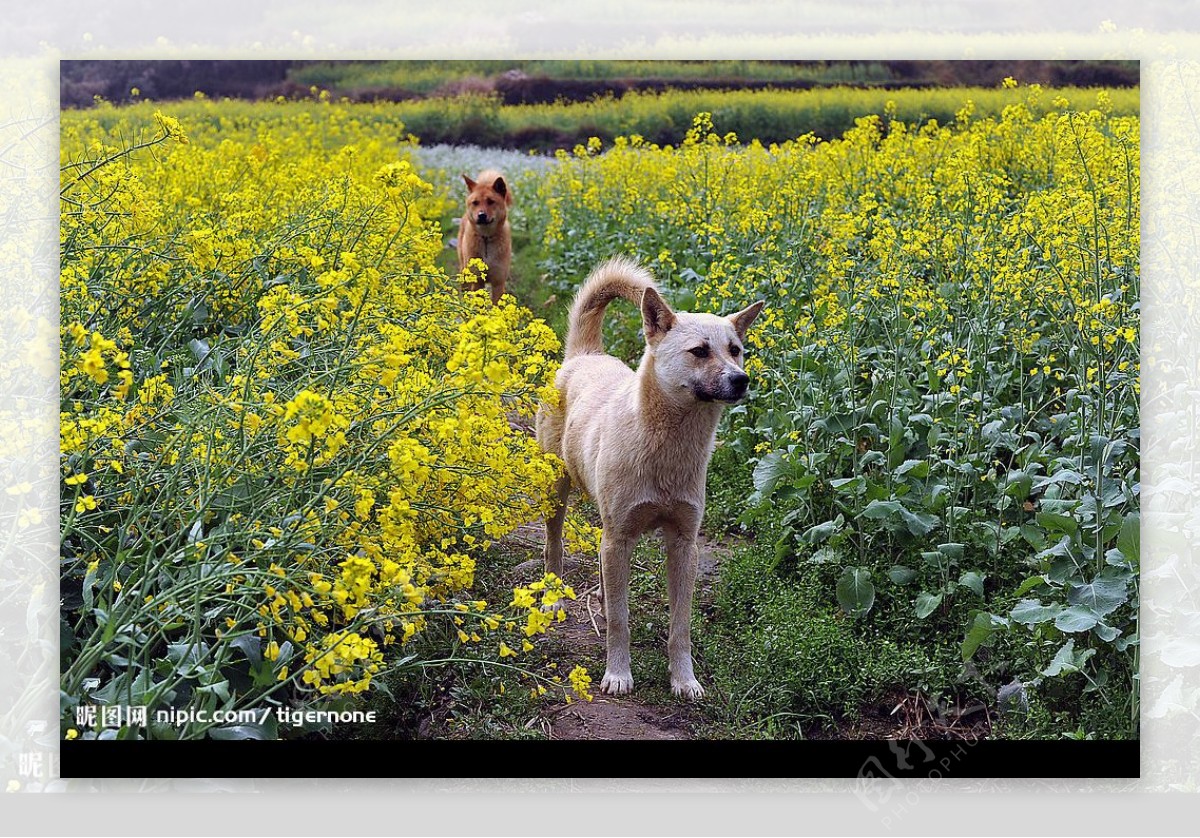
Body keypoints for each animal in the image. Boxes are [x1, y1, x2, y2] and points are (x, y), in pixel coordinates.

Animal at [456, 168, 513, 301]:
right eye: (475, 202)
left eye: (491, 201)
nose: (481, 215)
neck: (486, 238)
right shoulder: (477, 281)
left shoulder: (498, 283)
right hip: (464, 271)